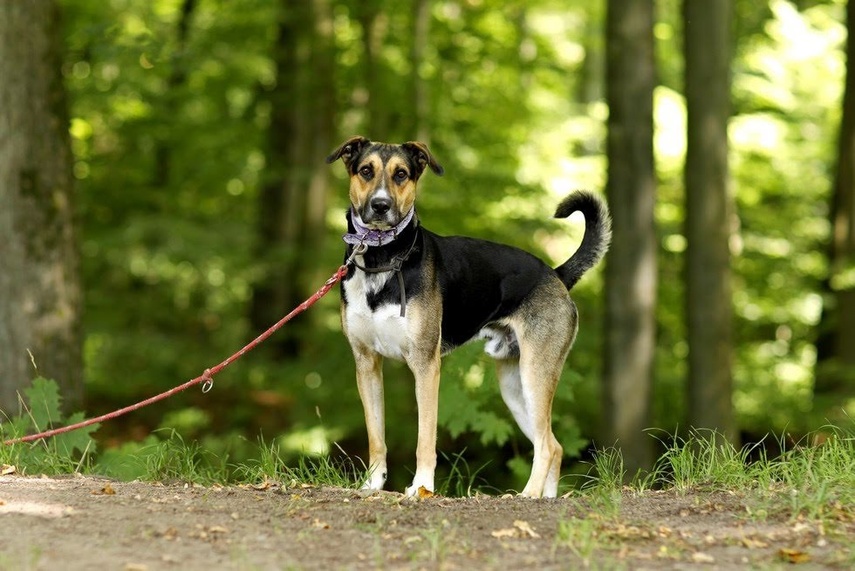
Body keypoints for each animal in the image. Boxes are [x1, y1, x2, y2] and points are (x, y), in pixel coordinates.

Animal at [324, 136, 612, 498]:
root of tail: (557, 275)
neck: (382, 257)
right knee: (553, 443)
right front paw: (372, 485)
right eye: (365, 170)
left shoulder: (425, 366)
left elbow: (425, 438)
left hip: (536, 373)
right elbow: (376, 436)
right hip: (514, 387)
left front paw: (422, 486)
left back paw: (529, 494)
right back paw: (546, 497)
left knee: (547, 445)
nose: (380, 205)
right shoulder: (366, 364)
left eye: (401, 174)